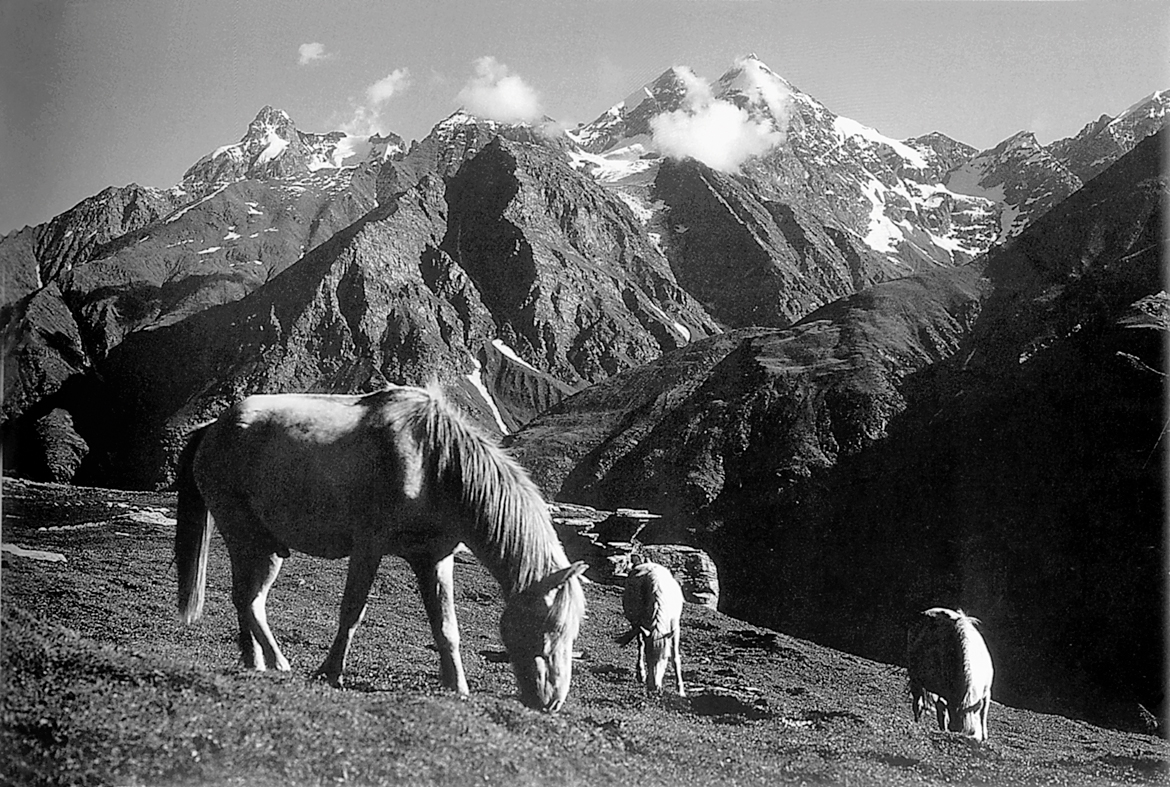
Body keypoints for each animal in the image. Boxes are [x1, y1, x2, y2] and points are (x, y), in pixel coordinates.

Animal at [175, 383, 585, 710]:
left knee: (249, 600)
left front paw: (457, 686)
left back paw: (256, 661)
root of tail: (212, 429)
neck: (434, 462)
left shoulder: (435, 559)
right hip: (245, 537)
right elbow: (352, 612)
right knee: (247, 599)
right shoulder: (369, 546)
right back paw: (277, 662)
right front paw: (329, 672)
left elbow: (446, 626)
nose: (552, 701)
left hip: (267, 547)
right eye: (549, 627)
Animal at [617, 558, 683, 692]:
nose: (654, 686)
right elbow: (643, 646)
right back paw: (641, 673)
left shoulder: (675, 628)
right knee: (640, 645)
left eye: (665, 657)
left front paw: (680, 689)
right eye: (648, 657)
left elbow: (675, 657)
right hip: (636, 624)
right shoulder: (642, 626)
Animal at [907, 603, 992, 739]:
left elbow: (983, 714)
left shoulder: (987, 692)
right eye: (954, 729)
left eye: (973, 733)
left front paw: (984, 736)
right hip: (915, 679)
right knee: (918, 704)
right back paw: (917, 722)